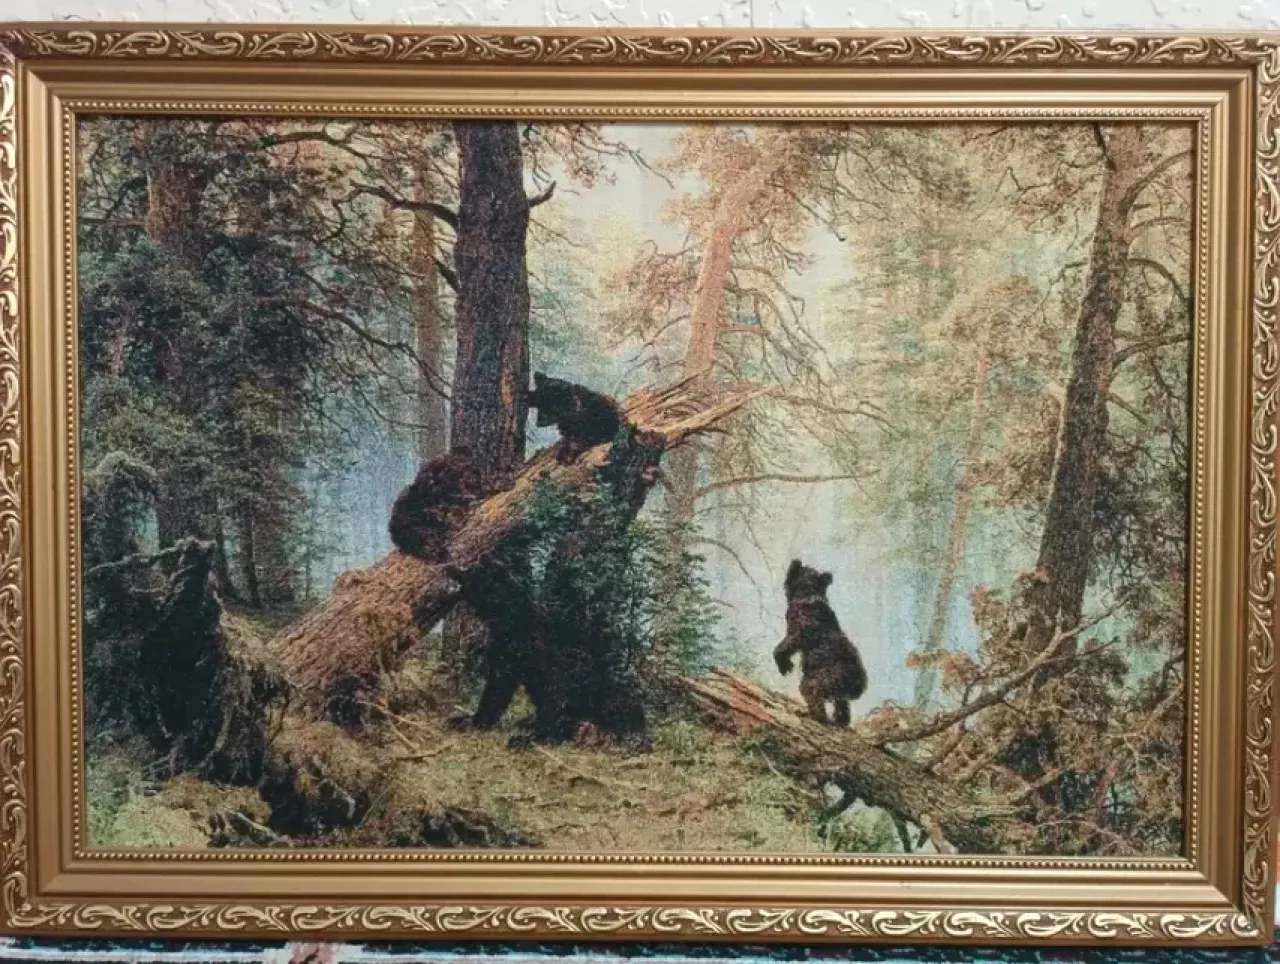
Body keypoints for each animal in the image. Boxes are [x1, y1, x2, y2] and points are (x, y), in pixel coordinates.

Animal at [772, 559, 868, 727]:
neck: (808, 594)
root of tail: (858, 681)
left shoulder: (800, 630)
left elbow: (785, 645)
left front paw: (784, 665)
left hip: (824, 679)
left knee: (812, 693)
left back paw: (813, 715)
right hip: (838, 689)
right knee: (842, 707)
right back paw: (838, 721)